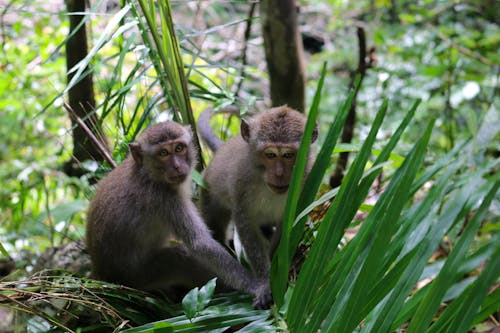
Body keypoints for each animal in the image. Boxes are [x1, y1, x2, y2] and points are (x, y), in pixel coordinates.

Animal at [87, 120, 272, 308]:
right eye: (163, 153)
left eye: (179, 148)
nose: (177, 166)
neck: (148, 173)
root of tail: (102, 275)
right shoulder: (164, 199)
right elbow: (200, 243)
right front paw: (256, 285)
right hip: (139, 277)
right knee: (179, 258)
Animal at [198, 105, 316, 282]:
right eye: (270, 155)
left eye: (288, 155)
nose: (279, 174)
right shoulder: (241, 180)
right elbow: (245, 221)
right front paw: (266, 279)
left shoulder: (306, 179)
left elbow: (288, 223)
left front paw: (277, 267)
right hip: (208, 191)